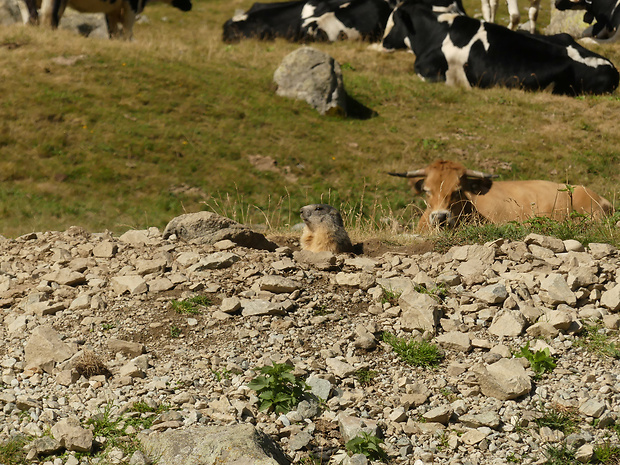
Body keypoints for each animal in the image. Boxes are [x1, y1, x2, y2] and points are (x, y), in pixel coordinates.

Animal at [38, 0, 191, 39]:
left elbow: (113, 31)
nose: (190, 6)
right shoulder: (131, 6)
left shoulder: (111, 10)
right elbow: (128, 29)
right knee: (49, 16)